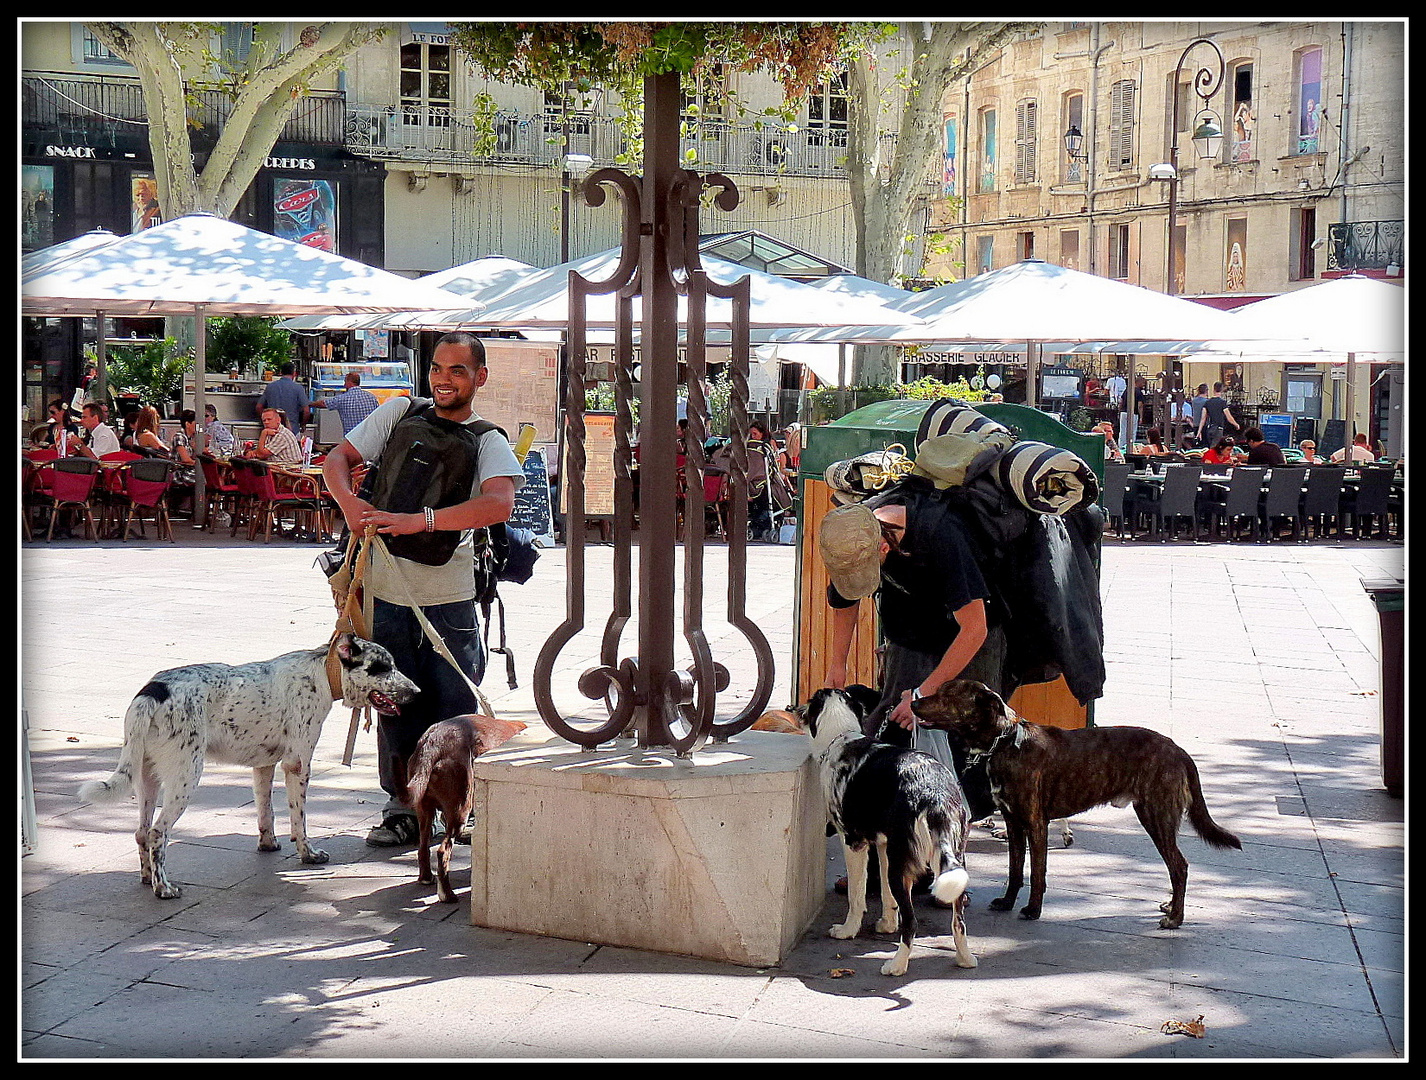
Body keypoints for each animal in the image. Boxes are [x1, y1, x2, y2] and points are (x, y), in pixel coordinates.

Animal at [78, 627, 416, 895]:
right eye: (382, 667)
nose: (416, 691)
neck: (320, 674)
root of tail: (154, 691)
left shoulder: (264, 766)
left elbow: (266, 813)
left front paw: (268, 845)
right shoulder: (297, 765)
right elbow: (299, 818)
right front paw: (307, 854)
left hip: (146, 776)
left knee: (141, 833)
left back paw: (149, 878)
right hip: (185, 777)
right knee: (157, 833)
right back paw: (164, 888)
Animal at [404, 716, 527, 901]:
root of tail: (432, 742)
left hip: (424, 810)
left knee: (423, 847)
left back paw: (426, 878)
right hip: (460, 810)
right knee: (443, 852)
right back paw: (447, 895)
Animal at [798, 690, 975, 975]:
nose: (794, 708)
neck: (841, 736)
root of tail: (933, 793)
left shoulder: (854, 843)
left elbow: (856, 896)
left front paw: (847, 931)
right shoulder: (882, 845)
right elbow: (885, 894)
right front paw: (887, 924)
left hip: (901, 862)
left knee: (912, 922)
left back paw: (896, 966)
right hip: (945, 860)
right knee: (958, 922)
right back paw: (965, 959)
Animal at [912, 681, 1237, 924]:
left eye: (947, 695)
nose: (913, 704)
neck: (1004, 742)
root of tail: (1178, 750)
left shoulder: (1035, 824)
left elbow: (1037, 873)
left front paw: (1033, 910)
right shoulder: (1014, 822)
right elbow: (1015, 871)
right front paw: (1007, 902)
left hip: (1156, 816)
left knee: (1179, 866)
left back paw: (1175, 918)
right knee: (1175, 866)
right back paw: (1171, 908)